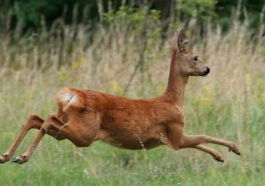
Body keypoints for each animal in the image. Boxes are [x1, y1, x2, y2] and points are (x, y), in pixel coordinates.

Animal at [0, 29, 239, 164]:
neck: (173, 101)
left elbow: (200, 141)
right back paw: (21, 157)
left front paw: (220, 156)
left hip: (70, 126)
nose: (208, 69)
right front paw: (234, 148)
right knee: (47, 119)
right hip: (85, 134)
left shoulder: (173, 138)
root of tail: (71, 96)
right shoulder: (175, 133)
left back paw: (7, 156)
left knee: (36, 118)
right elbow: (204, 136)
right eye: (196, 57)